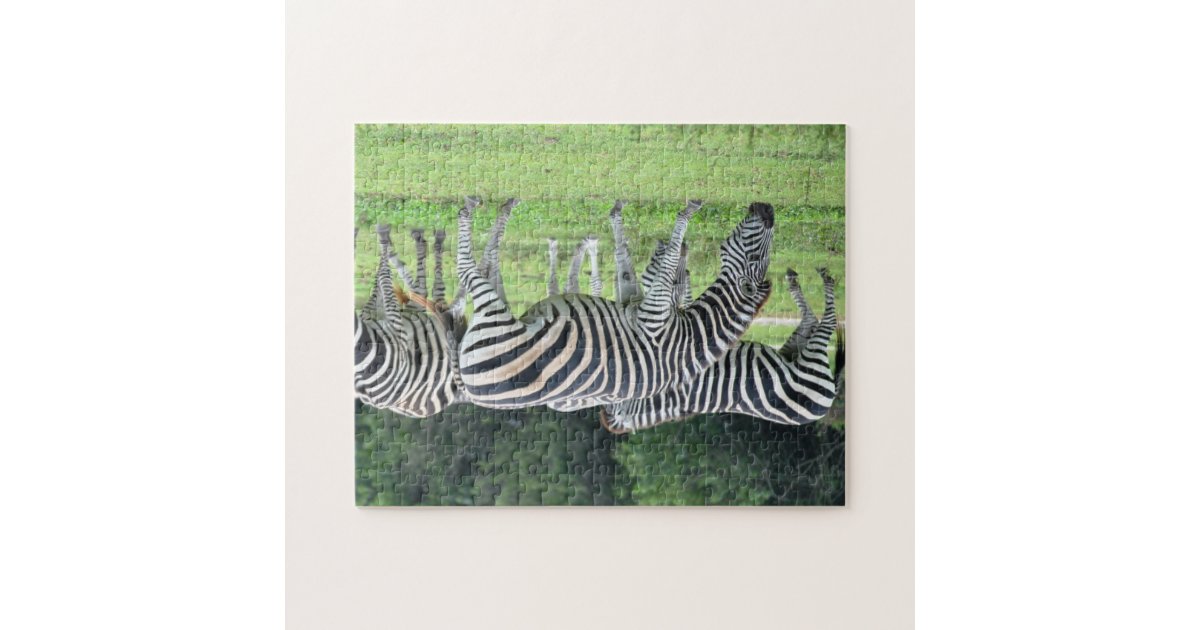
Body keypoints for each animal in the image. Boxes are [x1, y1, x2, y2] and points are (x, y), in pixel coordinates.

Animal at [455, 196, 775, 410]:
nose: (768, 209)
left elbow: (659, 260)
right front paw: (617, 212)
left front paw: (686, 214)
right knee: (489, 265)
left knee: (469, 269)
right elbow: (626, 259)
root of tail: (469, 388)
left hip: (496, 318)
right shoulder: (633, 300)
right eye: (759, 257)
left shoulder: (653, 314)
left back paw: (471, 211)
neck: (687, 336)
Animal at [598, 267, 844, 433]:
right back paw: (823, 281)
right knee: (824, 321)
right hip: (807, 359)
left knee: (813, 319)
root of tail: (828, 399)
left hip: (795, 351)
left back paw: (800, 281)